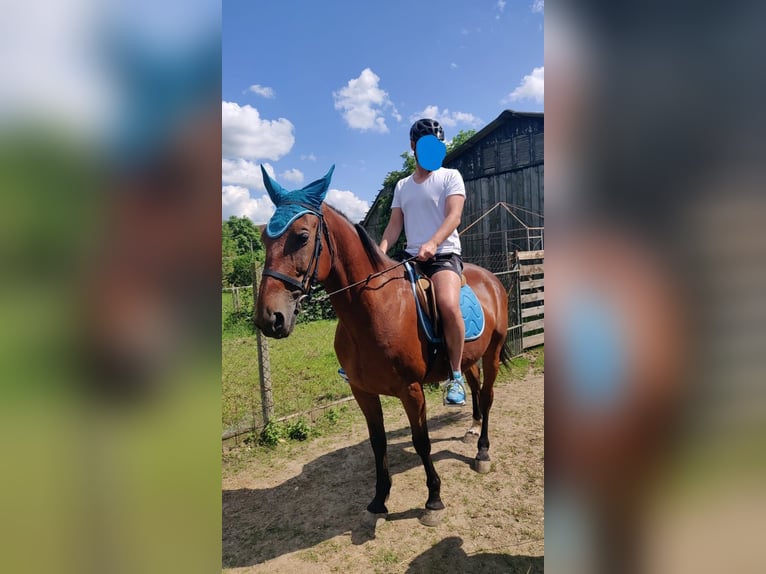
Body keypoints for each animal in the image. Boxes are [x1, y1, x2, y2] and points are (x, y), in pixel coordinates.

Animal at [255, 165, 512, 528]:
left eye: (302, 237)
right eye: (265, 238)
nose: (269, 318)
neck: (376, 308)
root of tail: (491, 279)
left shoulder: (411, 390)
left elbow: (421, 442)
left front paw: (433, 499)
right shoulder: (363, 391)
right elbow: (378, 444)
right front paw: (379, 500)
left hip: (492, 353)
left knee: (488, 396)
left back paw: (482, 450)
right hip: (468, 358)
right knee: (473, 386)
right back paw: (471, 427)